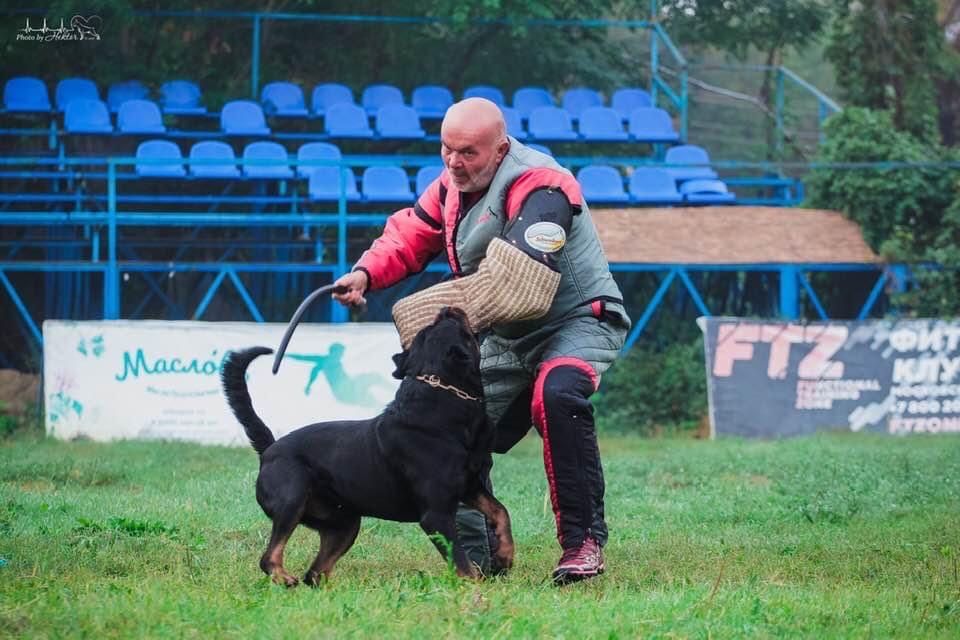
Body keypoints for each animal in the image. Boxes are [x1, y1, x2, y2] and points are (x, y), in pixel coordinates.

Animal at [222, 306, 512, 584]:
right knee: (270, 557)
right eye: (453, 326)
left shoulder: (470, 486)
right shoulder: (436, 514)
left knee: (315, 574)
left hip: (344, 524)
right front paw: (476, 588)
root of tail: (269, 449)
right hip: (291, 500)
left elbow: (500, 511)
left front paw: (505, 556)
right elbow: (461, 561)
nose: (447, 308)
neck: (443, 402)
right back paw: (284, 578)